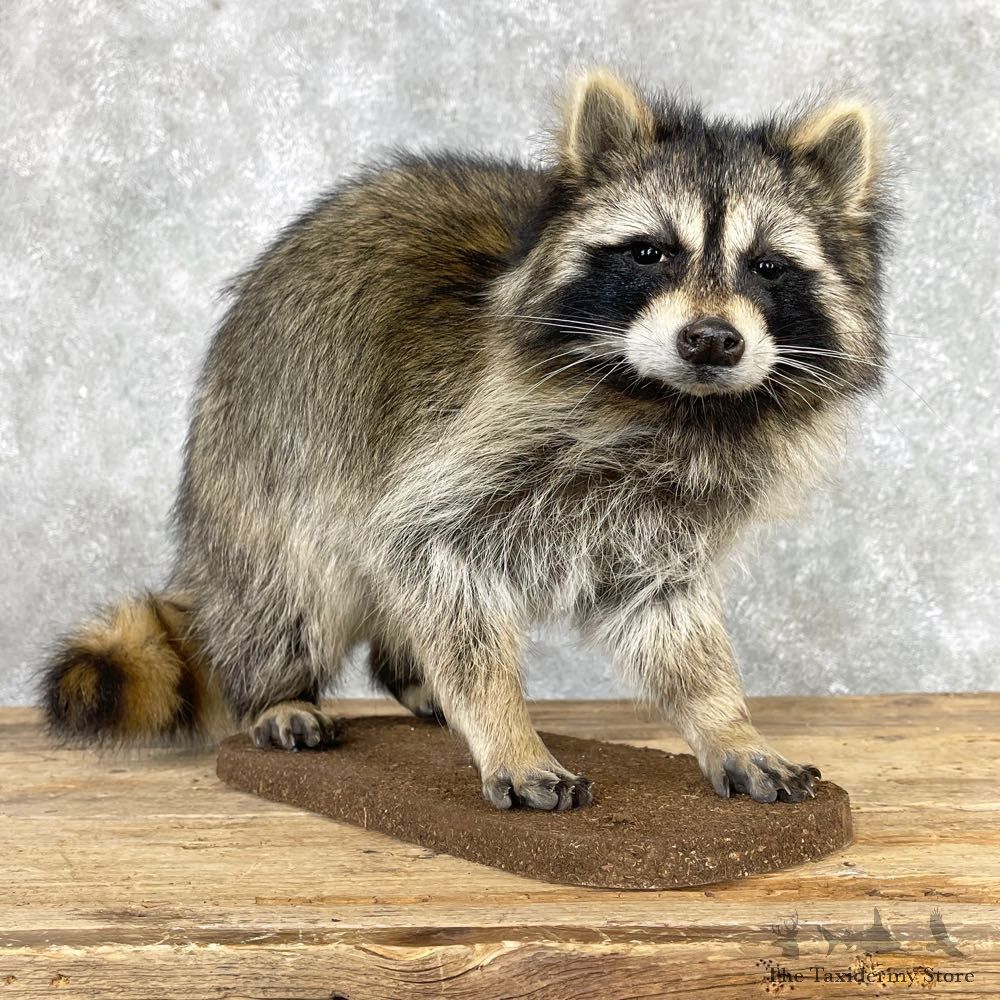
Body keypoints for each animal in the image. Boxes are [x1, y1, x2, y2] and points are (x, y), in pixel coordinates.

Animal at [41, 70, 889, 811]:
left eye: (768, 266)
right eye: (651, 252)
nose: (711, 341)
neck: (670, 402)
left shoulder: (664, 516)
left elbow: (671, 620)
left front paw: (726, 720)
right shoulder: (464, 445)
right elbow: (434, 564)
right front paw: (503, 728)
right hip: (266, 445)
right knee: (294, 584)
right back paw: (277, 692)